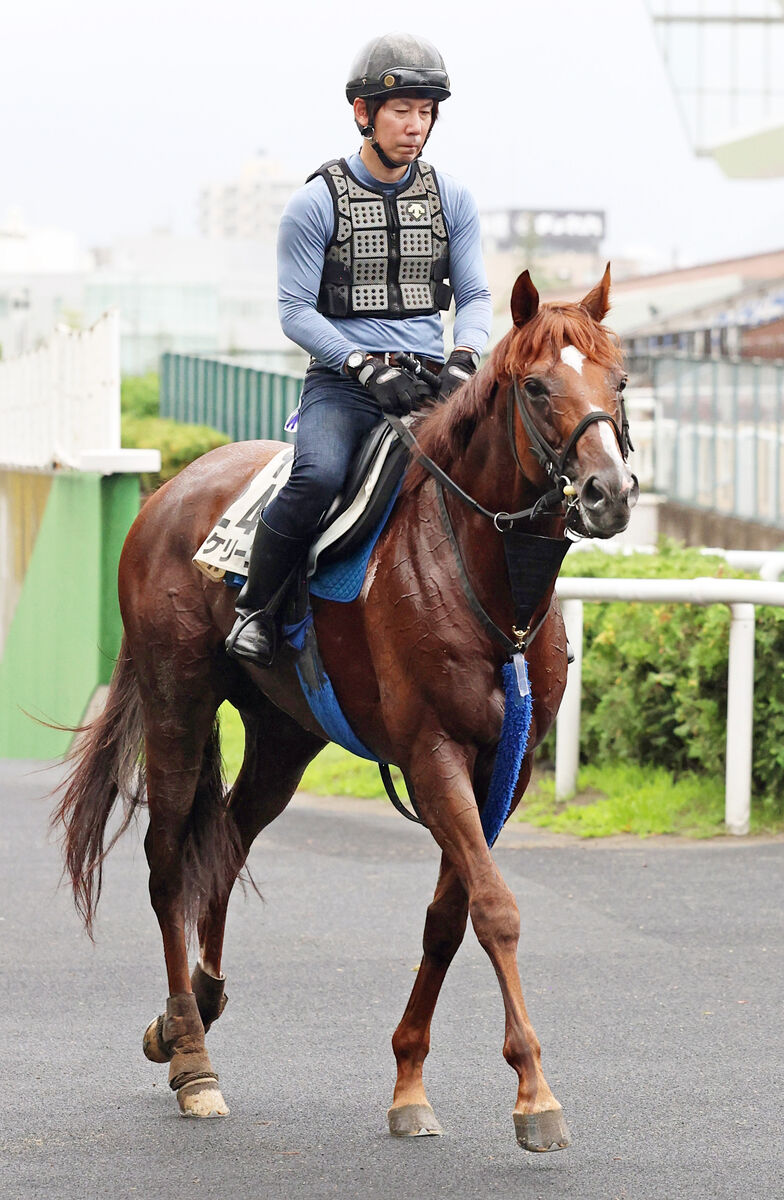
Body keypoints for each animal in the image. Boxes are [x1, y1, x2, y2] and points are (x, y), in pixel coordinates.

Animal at [51, 265, 633, 1152]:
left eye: (620, 382)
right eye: (536, 386)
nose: (609, 492)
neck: (486, 578)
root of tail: (170, 490)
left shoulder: (506, 769)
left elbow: (448, 916)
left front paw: (409, 1081)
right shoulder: (433, 755)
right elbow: (495, 908)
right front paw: (535, 1093)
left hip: (286, 733)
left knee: (226, 839)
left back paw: (195, 1007)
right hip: (177, 697)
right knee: (167, 858)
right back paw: (192, 1057)